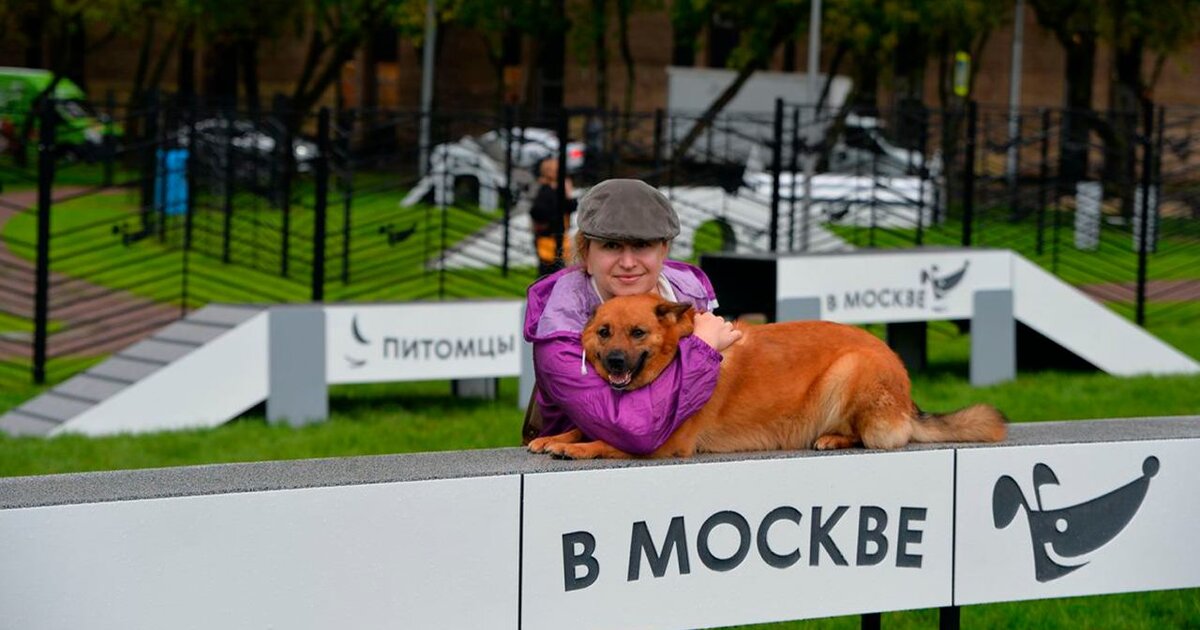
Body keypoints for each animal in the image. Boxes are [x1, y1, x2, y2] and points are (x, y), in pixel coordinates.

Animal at [530, 292, 1008, 458]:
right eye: (604, 332)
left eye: (637, 333)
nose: (613, 361)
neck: (678, 352)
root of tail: (909, 401)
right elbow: (587, 427)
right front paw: (555, 437)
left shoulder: (666, 444)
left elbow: (605, 440)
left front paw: (571, 448)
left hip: (851, 369)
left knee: (877, 437)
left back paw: (833, 438)